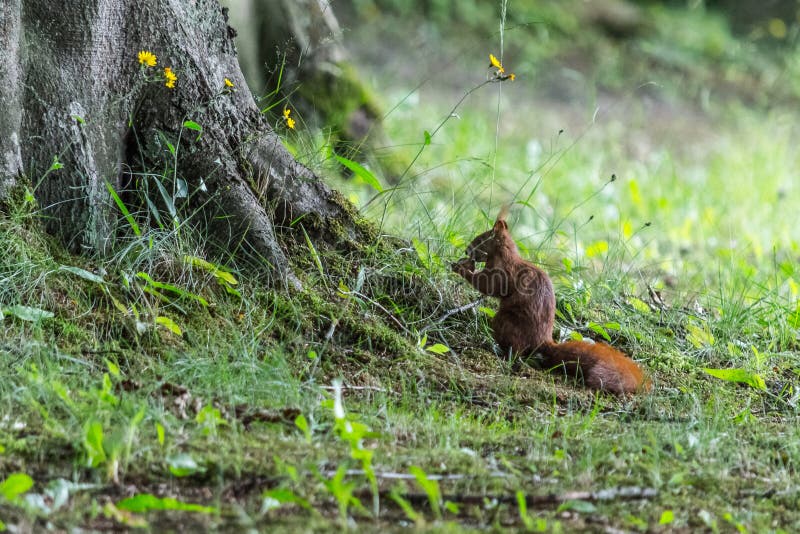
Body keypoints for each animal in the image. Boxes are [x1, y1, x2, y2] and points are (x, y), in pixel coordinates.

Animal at [452, 208, 649, 395]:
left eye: (480, 239)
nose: (466, 250)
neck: (504, 255)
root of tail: (542, 341)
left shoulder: (503, 272)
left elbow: (488, 286)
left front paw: (461, 268)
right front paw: (464, 264)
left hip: (505, 322)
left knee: (516, 351)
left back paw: (497, 349)